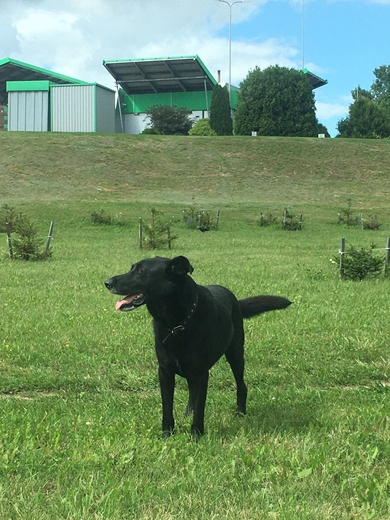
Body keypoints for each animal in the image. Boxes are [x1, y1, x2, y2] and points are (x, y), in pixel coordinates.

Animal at [105, 258, 290, 436]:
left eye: (140, 271)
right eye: (132, 268)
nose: (107, 282)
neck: (177, 324)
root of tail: (235, 300)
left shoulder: (201, 373)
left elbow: (200, 407)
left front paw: (196, 435)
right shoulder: (165, 371)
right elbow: (167, 406)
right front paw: (167, 434)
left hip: (235, 354)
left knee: (241, 385)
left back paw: (240, 412)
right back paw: (188, 412)